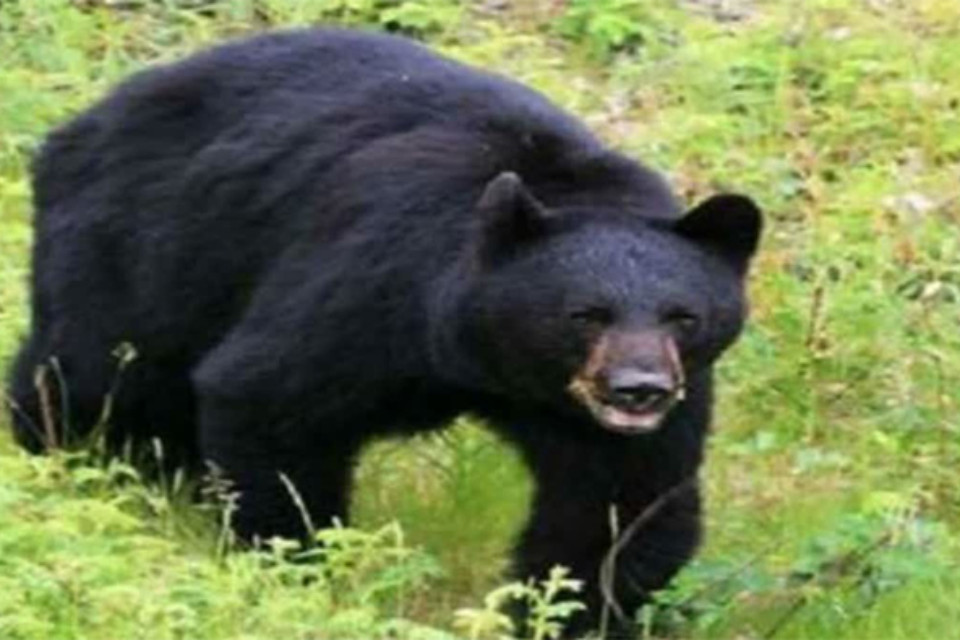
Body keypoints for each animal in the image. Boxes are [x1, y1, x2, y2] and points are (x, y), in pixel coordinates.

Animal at [7, 28, 762, 638]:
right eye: (585, 314)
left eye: (683, 317)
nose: (639, 390)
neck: (482, 359)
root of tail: (86, 117)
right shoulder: (373, 279)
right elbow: (271, 397)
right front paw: (297, 571)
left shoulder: (629, 408)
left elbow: (619, 498)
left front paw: (573, 615)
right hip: (143, 239)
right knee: (92, 370)